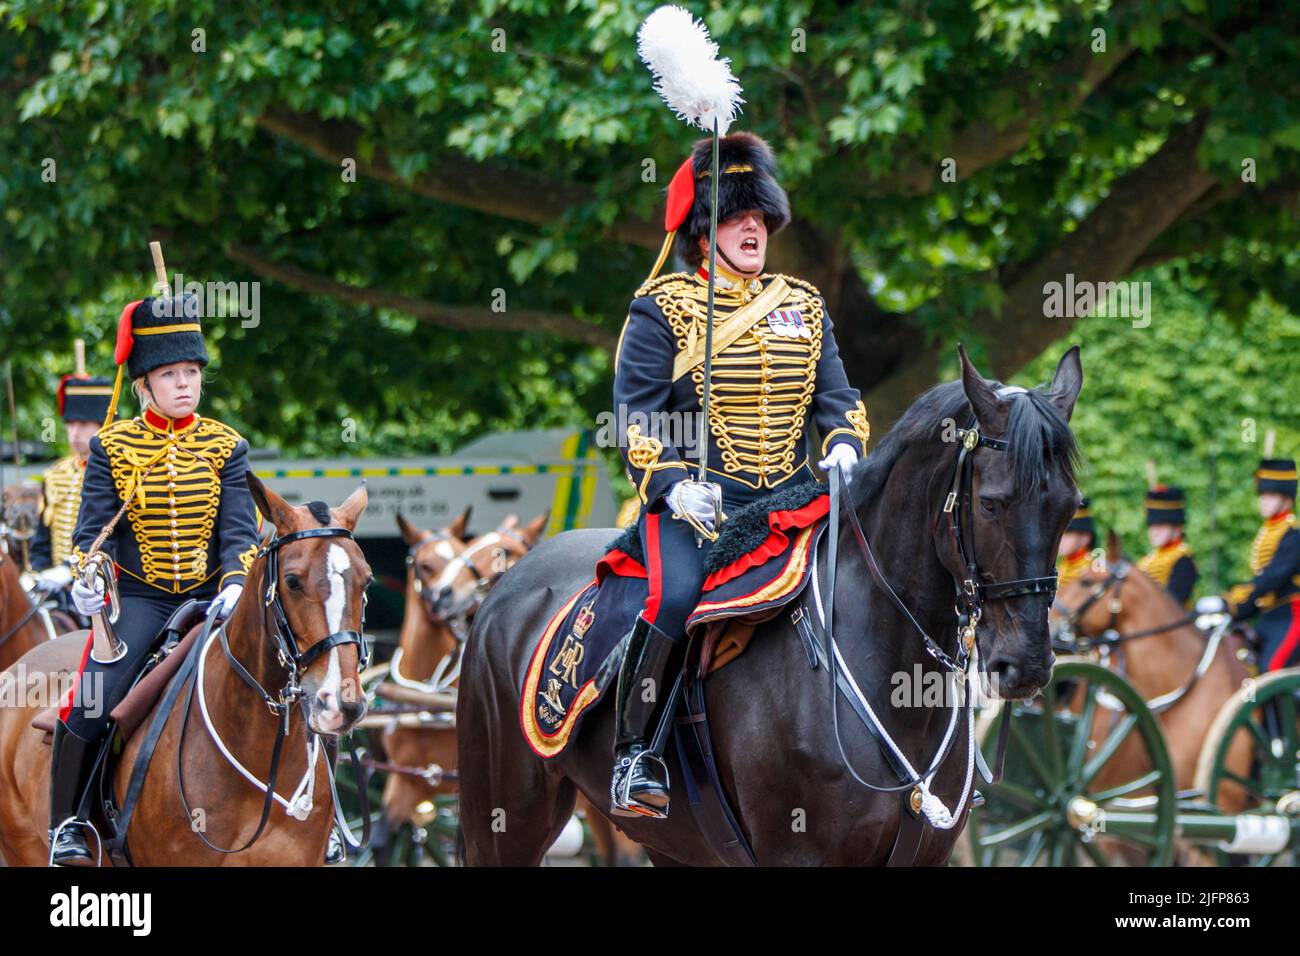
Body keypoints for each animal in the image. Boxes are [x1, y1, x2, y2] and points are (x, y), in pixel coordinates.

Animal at [457, 345, 1086, 868]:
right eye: (990, 503)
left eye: (1070, 506)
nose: (1026, 665)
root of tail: (509, 582)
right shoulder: (798, 854)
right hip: (504, 818)